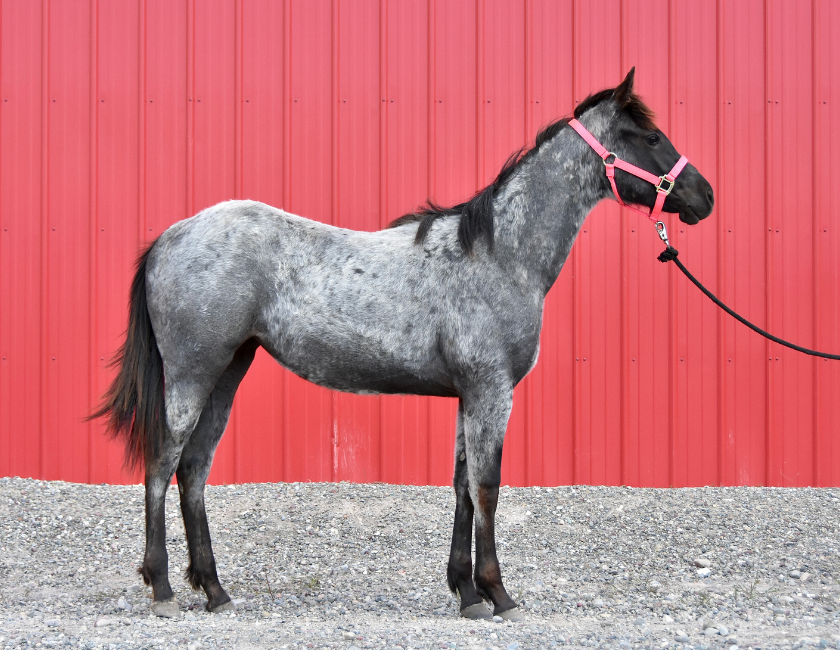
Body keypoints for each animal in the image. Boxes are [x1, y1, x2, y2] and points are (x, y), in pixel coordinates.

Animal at [93, 68, 714, 620]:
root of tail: (170, 236)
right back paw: (164, 589)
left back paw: (215, 591)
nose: (704, 196)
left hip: (227, 370)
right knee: (161, 464)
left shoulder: (470, 396)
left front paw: (468, 594)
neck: (499, 256)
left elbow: (462, 487)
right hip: (193, 373)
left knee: (194, 469)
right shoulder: (492, 392)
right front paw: (500, 595)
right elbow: (487, 488)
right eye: (651, 138)